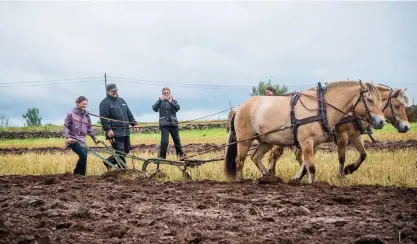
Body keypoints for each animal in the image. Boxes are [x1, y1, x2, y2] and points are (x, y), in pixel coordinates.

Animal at [224, 81, 384, 184]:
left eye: (381, 100)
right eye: (369, 99)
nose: (381, 121)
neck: (321, 108)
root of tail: (240, 107)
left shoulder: (317, 143)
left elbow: (307, 165)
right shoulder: (311, 141)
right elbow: (313, 167)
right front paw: (314, 184)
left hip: (266, 141)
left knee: (255, 157)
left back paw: (269, 177)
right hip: (245, 139)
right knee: (239, 160)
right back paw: (240, 181)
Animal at [266, 85, 410, 178]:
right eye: (397, 105)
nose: (407, 127)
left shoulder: (355, 136)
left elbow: (363, 154)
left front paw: (349, 169)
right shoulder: (342, 136)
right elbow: (341, 157)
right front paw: (341, 175)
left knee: (296, 155)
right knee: (275, 154)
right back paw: (271, 173)